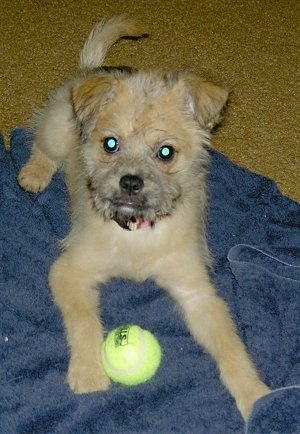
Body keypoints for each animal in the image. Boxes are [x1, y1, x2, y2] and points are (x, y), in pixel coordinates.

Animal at [17, 16, 270, 420]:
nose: (130, 182)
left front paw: (255, 395)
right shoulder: (69, 272)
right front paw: (89, 373)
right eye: (110, 144)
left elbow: (230, 346)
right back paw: (34, 174)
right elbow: (84, 321)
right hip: (58, 130)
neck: (136, 231)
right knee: (42, 144)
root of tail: (94, 70)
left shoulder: (197, 294)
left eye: (165, 152)